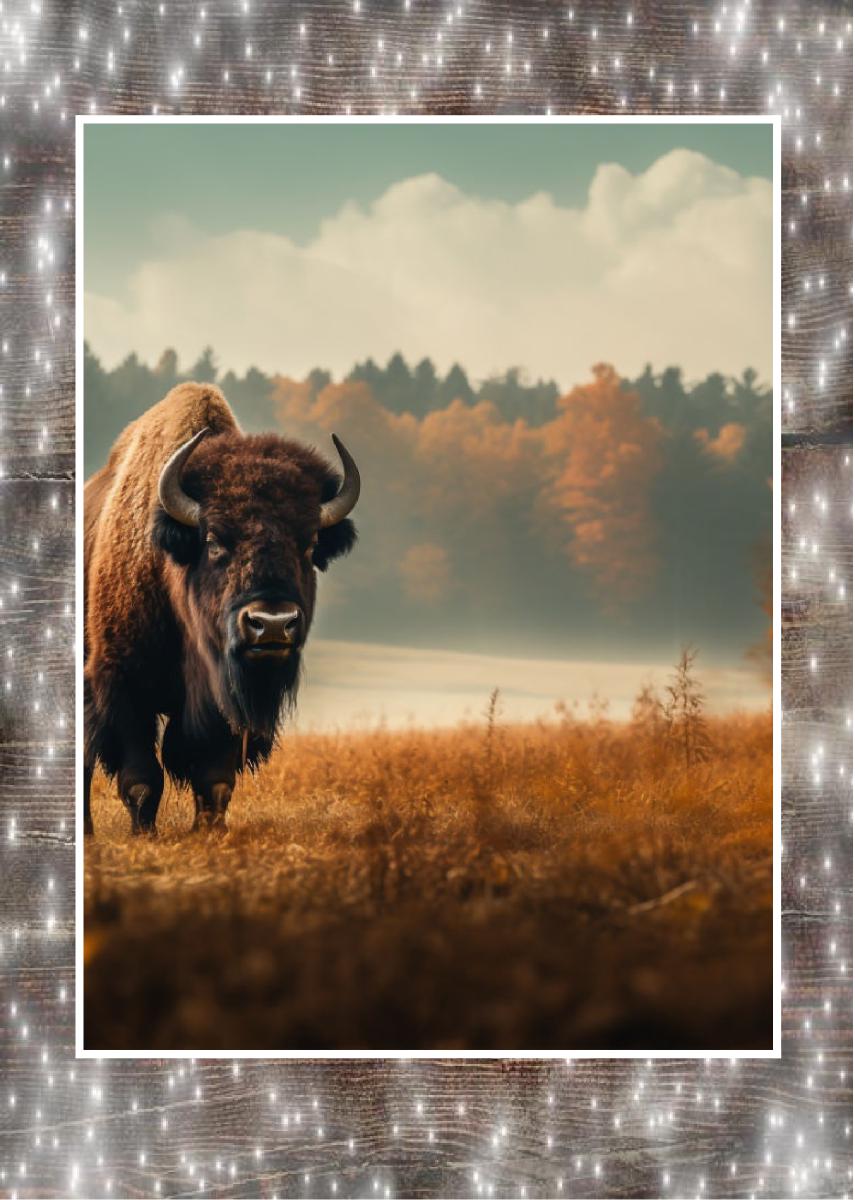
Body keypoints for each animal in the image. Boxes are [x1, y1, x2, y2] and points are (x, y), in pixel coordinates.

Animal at [84, 382, 359, 834]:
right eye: (214, 541)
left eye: (309, 544)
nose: (272, 624)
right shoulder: (122, 683)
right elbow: (141, 778)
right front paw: (146, 834)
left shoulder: (226, 695)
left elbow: (214, 777)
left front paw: (209, 831)